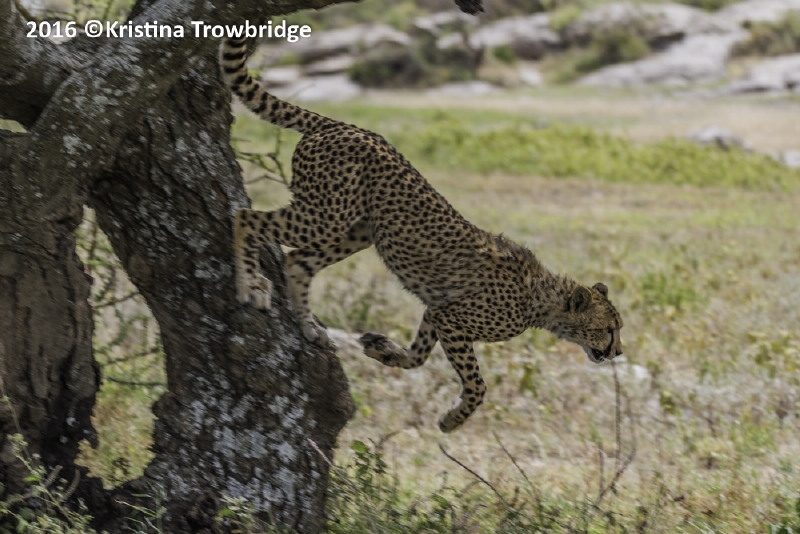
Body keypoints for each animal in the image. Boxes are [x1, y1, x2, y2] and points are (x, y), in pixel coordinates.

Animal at [220, 37, 624, 433]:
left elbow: (417, 356)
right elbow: (477, 383)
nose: (617, 352)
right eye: (609, 329)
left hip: (358, 230)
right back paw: (250, 286)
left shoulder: (437, 309)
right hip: (327, 214)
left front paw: (382, 350)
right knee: (246, 217)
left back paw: (308, 326)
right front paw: (453, 420)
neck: (542, 299)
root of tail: (342, 125)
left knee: (297, 261)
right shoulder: (453, 319)